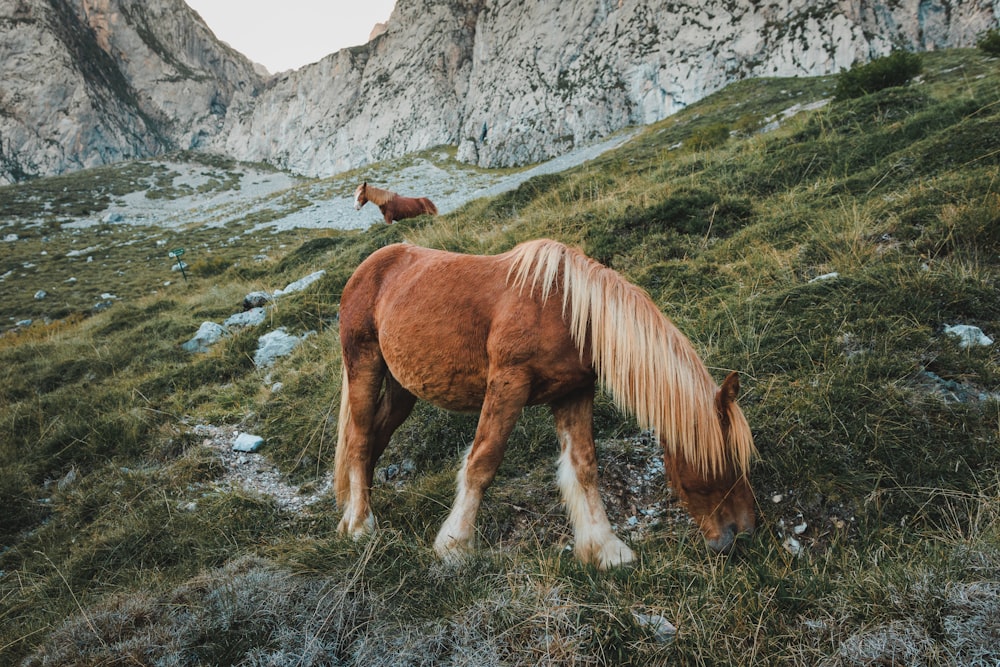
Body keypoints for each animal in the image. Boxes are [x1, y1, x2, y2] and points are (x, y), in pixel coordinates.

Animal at [336, 240, 756, 568]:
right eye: (725, 462)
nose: (742, 533)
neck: (568, 310)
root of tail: (368, 266)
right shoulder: (508, 383)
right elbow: (482, 462)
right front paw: (454, 546)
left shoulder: (573, 392)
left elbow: (584, 467)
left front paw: (605, 548)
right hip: (364, 365)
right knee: (359, 441)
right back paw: (360, 526)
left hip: (402, 389)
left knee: (374, 441)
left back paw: (350, 517)